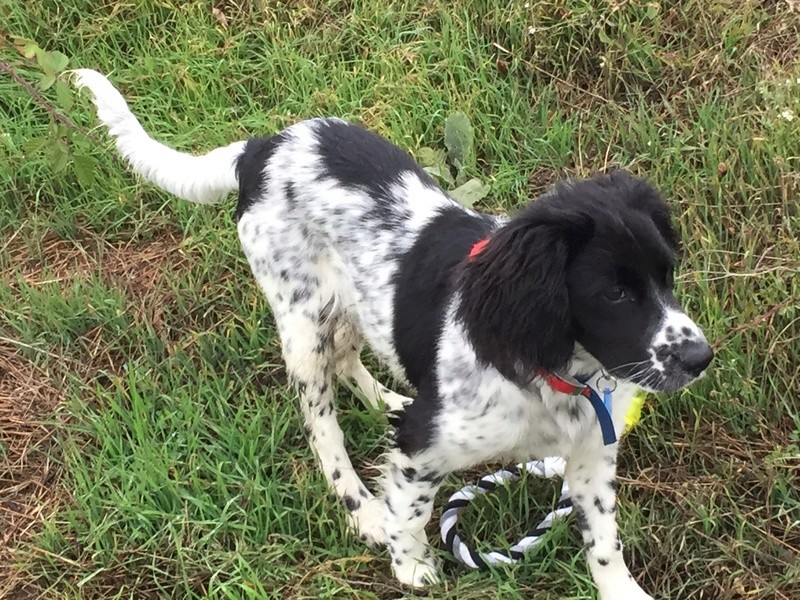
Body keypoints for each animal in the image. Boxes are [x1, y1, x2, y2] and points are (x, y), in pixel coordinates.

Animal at [75, 71, 712, 600]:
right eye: (614, 294)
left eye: (667, 275)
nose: (701, 357)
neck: (558, 372)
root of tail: (262, 148)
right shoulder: (422, 446)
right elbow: (412, 508)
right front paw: (410, 565)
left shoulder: (591, 454)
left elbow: (604, 539)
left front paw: (622, 591)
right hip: (302, 321)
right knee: (322, 425)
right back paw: (362, 508)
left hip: (352, 304)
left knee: (351, 358)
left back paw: (388, 398)